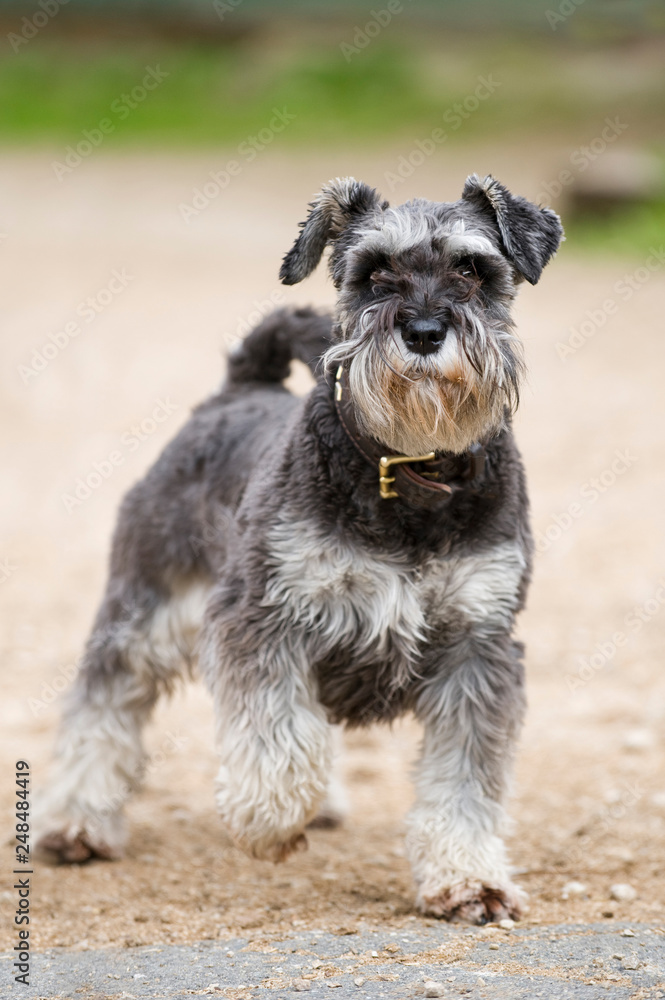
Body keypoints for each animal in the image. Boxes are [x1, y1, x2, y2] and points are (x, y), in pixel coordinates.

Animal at [36, 176, 560, 924]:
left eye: (472, 268)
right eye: (373, 272)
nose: (423, 332)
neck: (405, 473)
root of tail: (236, 390)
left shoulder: (477, 645)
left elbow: (464, 778)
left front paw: (469, 879)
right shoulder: (262, 615)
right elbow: (277, 731)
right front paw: (268, 818)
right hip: (145, 608)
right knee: (103, 703)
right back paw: (76, 822)